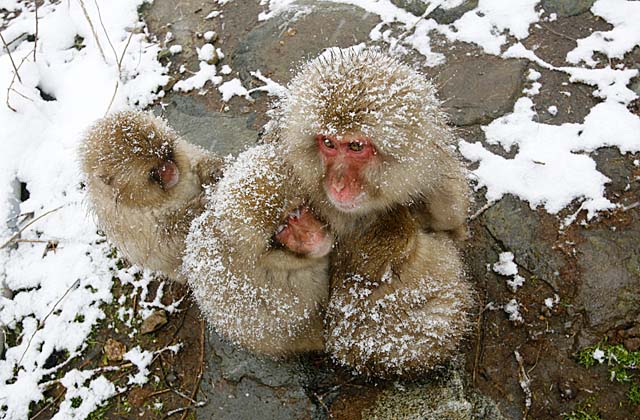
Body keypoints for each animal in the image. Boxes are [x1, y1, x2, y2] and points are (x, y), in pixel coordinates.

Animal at [80, 110, 222, 284]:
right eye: (154, 172)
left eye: (167, 154)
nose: (171, 170)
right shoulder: (125, 220)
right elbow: (165, 243)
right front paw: (200, 205)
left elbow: (196, 162)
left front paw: (215, 170)